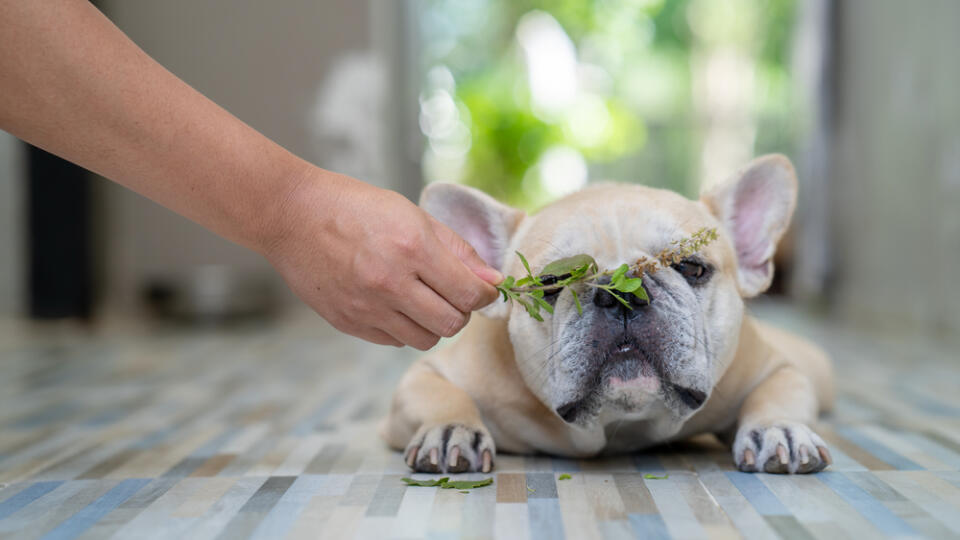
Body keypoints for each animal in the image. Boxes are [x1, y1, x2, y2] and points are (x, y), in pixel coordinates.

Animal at [382, 154, 832, 474]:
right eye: (551, 283)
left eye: (691, 267)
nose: (620, 298)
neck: (622, 425)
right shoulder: (427, 377)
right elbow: (439, 393)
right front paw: (449, 429)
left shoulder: (775, 367)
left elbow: (778, 390)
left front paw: (778, 428)